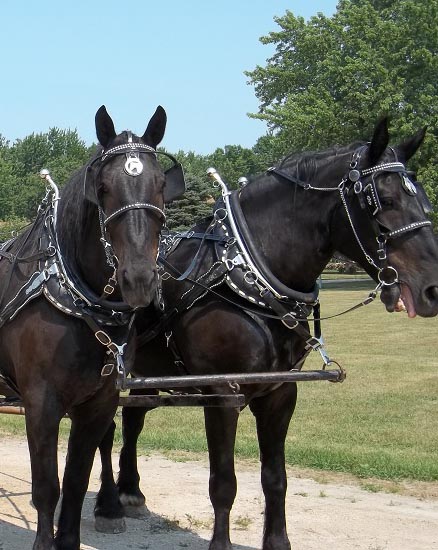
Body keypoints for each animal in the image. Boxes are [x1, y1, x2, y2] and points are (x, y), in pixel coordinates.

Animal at [0, 105, 185, 548]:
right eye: (103, 187)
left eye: (160, 185)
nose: (139, 279)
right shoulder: (41, 403)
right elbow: (47, 488)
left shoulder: (99, 403)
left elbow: (75, 481)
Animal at [97, 118, 438, 548]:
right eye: (384, 202)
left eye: (423, 201)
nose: (432, 289)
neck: (246, 276)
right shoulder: (221, 393)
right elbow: (223, 483)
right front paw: (221, 543)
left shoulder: (281, 392)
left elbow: (276, 478)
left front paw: (277, 541)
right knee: (105, 428)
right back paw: (107, 504)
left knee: (132, 418)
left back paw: (130, 490)